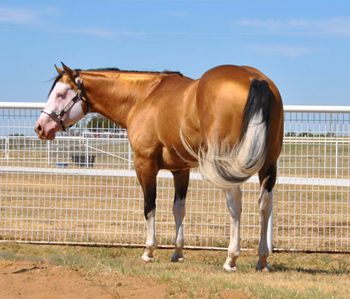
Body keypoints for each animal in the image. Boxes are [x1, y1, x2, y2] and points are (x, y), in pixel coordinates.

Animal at [34, 62, 284, 272]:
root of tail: (255, 79)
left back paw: (231, 258)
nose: (41, 127)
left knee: (235, 203)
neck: (143, 97)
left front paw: (148, 251)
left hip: (227, 165)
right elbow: (178, 209)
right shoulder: (180, 170)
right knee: (265, 204)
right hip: (268, 165)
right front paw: (177, 252)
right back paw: (262, 259)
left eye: (61, 94)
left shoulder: (144, 164)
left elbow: (149, 206)